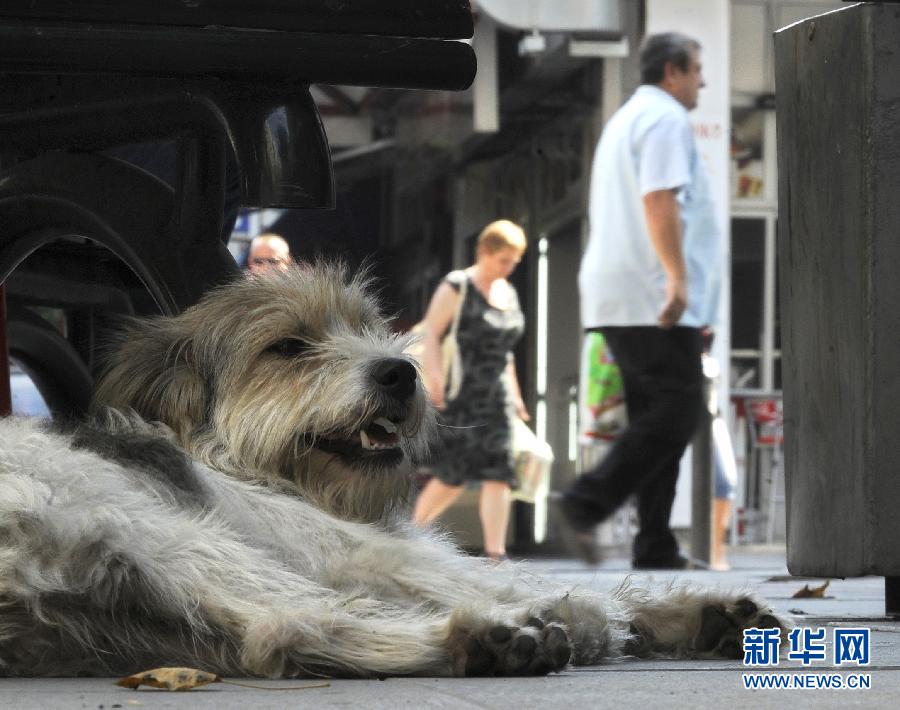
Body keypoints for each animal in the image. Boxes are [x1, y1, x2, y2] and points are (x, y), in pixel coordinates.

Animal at [0, 262, 780, 680]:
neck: (245, 463)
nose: (400, 373)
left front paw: (698, 615)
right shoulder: (359, 552)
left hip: (135, 616)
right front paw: (601, 613)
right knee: (296, 618)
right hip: (162, 534)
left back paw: (486, 643)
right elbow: (523, 578)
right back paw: (497, 633)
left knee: (280, 637)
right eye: (288, 346)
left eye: (368, 326)